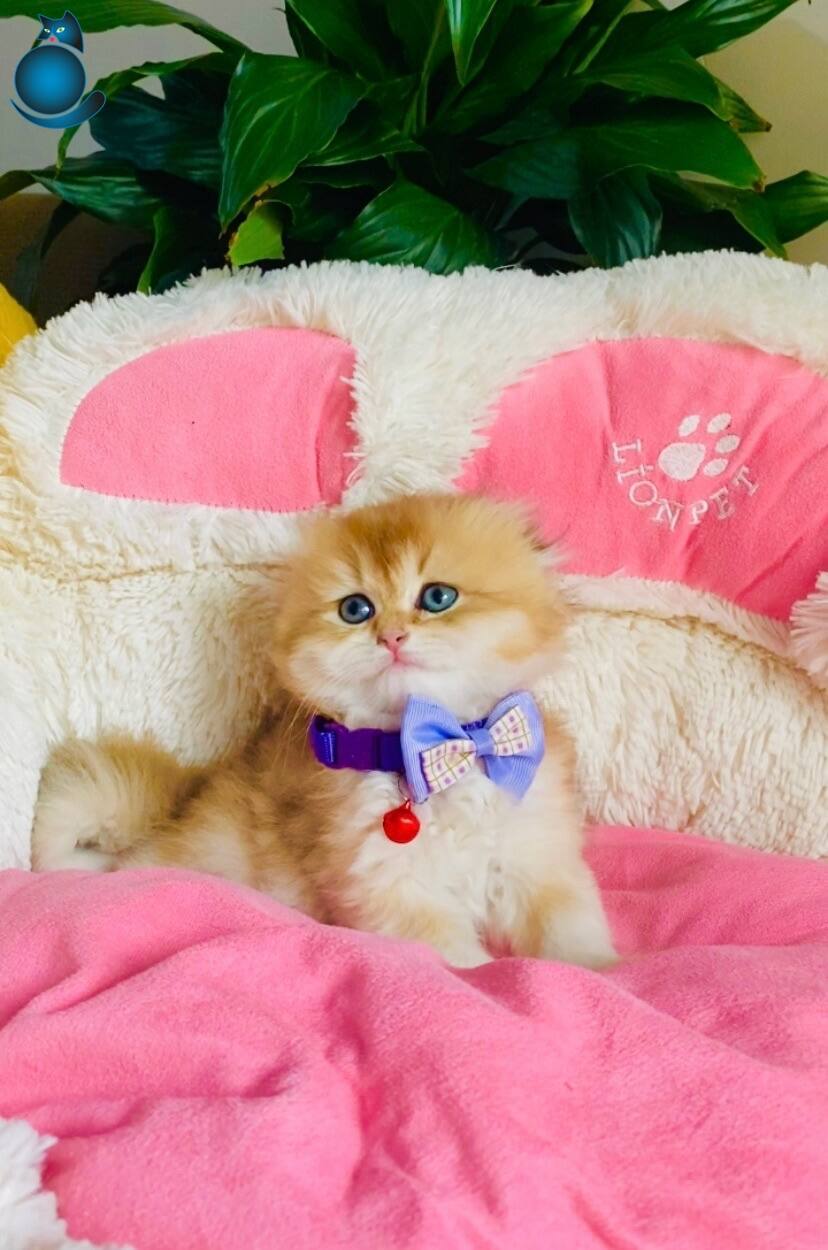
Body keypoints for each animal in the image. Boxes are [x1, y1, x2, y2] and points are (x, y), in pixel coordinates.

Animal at [32, 494, 616, 970]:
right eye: (355, 609)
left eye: (437, 598)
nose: (391, 636)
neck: (439, 751)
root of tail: (175, 810)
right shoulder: (392, 890)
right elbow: (457, 960)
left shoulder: (535, 861)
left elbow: (569, 928)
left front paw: (606, 970)